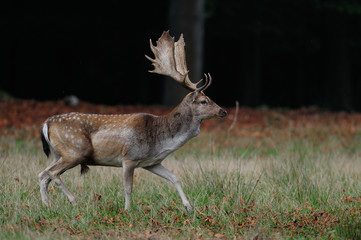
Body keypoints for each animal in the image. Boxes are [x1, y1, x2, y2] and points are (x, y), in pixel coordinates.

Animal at [38, 31, 225, 212]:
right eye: (204, 101)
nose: (223, 111)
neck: (159, 140)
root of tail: (46, 123)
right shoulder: (129, 157)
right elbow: (128, 187)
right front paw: (128, 210)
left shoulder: (152, 162)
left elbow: (174, 177)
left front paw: (188, 206)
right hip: (75, 150)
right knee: (52, 173)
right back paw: (73, 201)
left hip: (59, 153)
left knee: (43, 174)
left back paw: (47, 205)